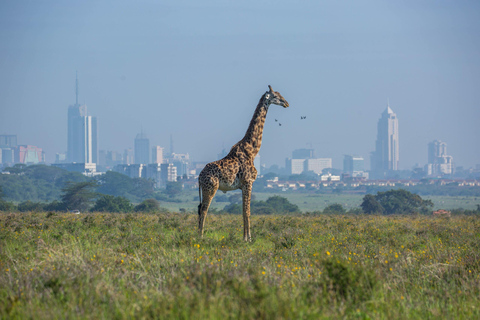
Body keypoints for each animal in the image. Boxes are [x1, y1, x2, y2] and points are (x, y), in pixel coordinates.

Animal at [198, 85, 288, 240]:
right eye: (276, 96)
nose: (286, 103)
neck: (252, 150)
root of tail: (199, 177)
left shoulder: (242, 186)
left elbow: (243, 211)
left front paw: (245, 237)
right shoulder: (248, 182)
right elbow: (247, 211)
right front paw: (248, 238)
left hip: (205, 189)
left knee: (199, 208)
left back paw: (196, 234)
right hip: (210, 188)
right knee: (204, 209)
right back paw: (201, 237)